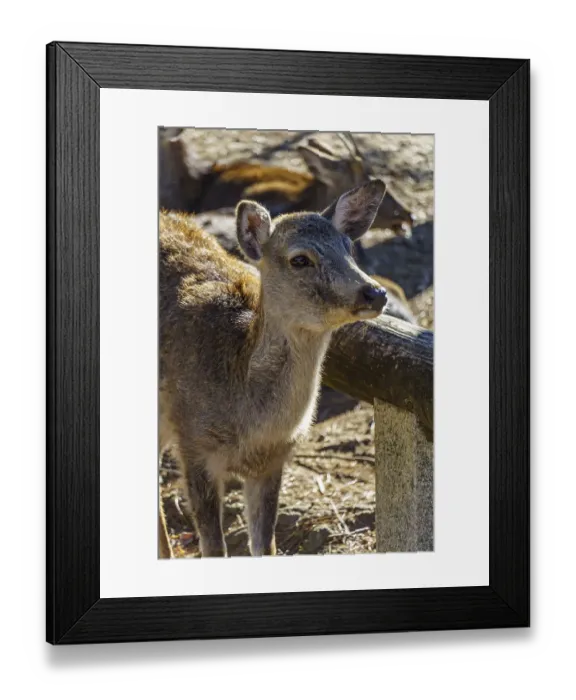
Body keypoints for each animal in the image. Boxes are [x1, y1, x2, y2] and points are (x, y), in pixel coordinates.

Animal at [159, 179, 389, 558]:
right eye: (300, 259)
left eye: (349, 249)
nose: (375, 292)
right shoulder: (193, 444)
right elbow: (214, 548)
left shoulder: (274, 460)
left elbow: (265, 546)